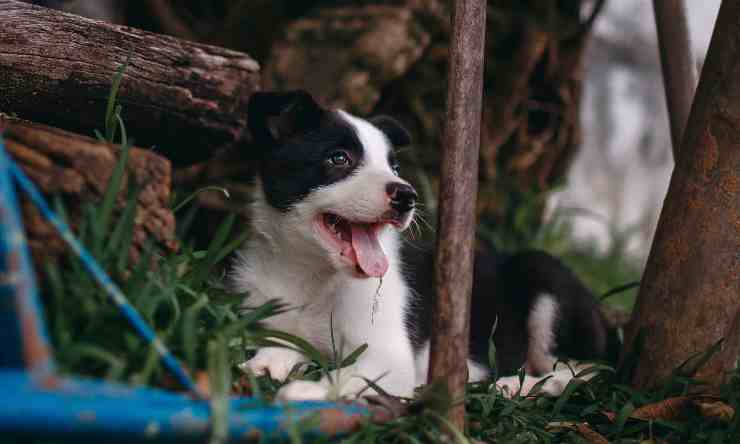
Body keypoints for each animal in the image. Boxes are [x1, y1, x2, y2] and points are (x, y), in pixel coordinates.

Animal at [230, 90, 612, 402]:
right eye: (338, 158)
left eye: (394, 166)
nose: (407, 196)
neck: (311, 272)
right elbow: (284, 343)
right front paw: (267, 363)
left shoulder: (390, 360)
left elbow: (345, 374)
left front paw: (308, 391)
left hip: (544, 275)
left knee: (586, 369)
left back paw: (520, 385)